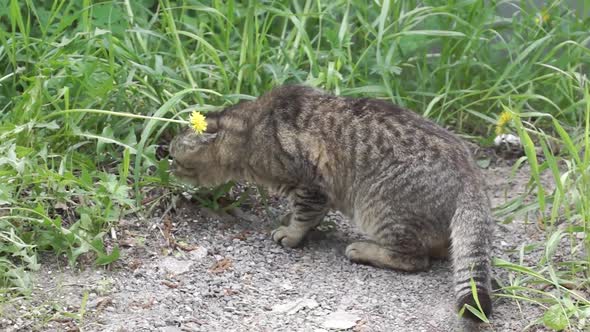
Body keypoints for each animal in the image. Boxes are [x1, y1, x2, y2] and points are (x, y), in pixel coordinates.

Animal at [170, 84, 494, 320]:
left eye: (174, 156)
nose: (167, 167)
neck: (249, 132)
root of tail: (472, 172)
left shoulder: (309, 184)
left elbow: (303, 215)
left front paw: (290, 233)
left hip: (378, 207)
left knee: (414, 258)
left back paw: (363, 250)